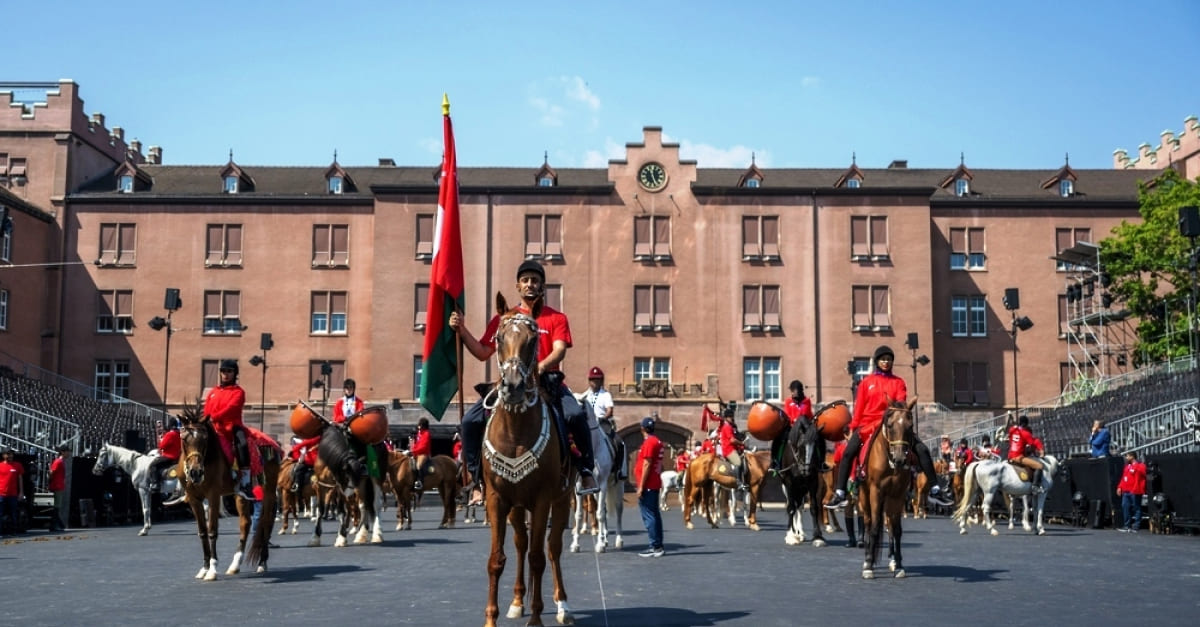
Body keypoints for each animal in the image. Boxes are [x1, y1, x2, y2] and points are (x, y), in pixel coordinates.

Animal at [176, 413, 279, 578]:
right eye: (184, 439)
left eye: (205, 439)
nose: (195, 472)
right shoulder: (193, 499)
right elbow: (202, 531)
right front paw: (204, 568)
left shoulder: (214, 495)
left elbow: (212, 530)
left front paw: (212, 569)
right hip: (240, 495)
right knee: (245, 523)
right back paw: (235, 564)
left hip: (269, 490)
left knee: (267, 522)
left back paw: (262, 563)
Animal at [480, 299, 573, 624]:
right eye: (498, 338)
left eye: (533, 341)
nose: (514, 386)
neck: (515, 431)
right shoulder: (496, 498)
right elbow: (497, 559)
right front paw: (491, 617)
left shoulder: (544, 498)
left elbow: (538, 557)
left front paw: (536, 617)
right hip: (517, 506)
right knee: (520, 544)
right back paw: (518, 600)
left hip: (562, 499)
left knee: (553, 549)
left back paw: (562, 604)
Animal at [571, 415, 628, 552]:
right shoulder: (579, 487)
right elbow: (579, 514)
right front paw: (575, 544)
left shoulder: (602, 485)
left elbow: (600, 514)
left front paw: (600, 545)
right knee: (603, 509)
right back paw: (605, 538)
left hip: (618, 486)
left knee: (618, 510)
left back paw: (618, 540)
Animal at [859, 398, 912, 578]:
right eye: (889, 425)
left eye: (910, 426)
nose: (900, 459)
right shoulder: (876, 491)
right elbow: (875, 528)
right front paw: (869, 565)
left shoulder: (899, 494)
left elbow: (897, 530)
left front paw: (900, 564)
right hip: (864, 495)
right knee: (868, 523)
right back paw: (867, 557)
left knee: (889, 524)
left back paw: (892, 560)